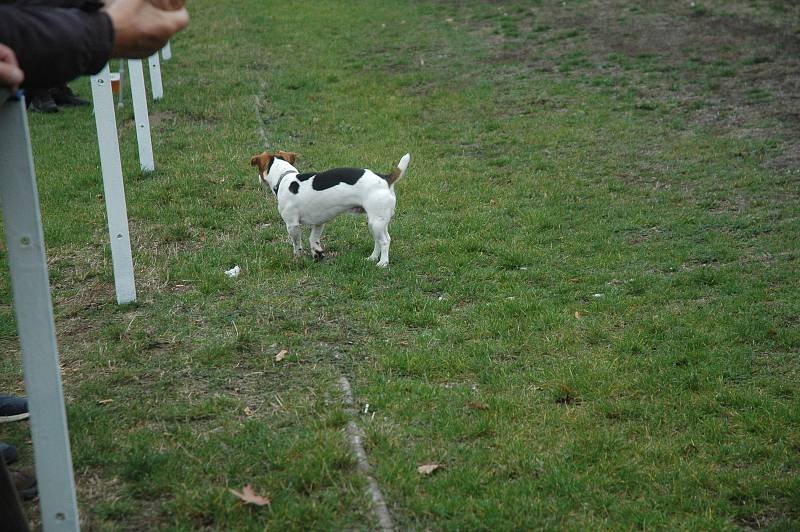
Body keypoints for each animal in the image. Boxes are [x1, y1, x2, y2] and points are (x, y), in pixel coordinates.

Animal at [248, 149, 412, 266]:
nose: (257, 178)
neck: (285, 178)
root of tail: (385, 179)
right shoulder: (319, 222)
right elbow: (313, 239)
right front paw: (317, 253)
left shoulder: (292, 225)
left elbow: (297, 244)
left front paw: (298, 258)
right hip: (374, 222)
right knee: (378, 241)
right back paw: (372, 258)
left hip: (377, 222)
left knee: (385, 241)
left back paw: (383, 263)